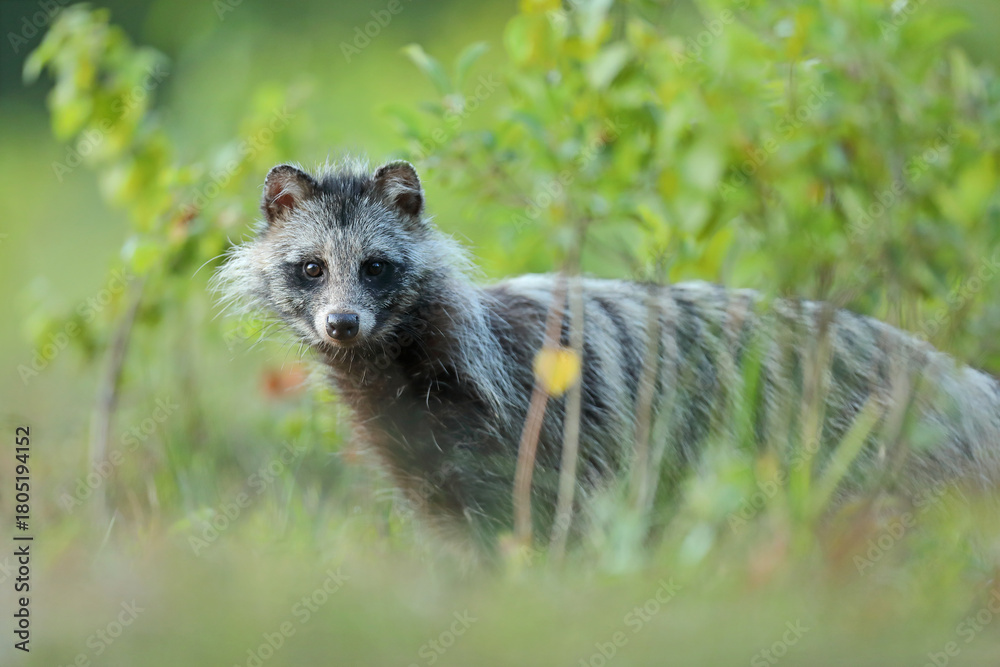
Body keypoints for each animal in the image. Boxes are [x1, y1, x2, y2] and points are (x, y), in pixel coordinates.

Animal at [214, 159, 1000, 550]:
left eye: (376, 266)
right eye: (311, 267)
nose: (342, 323)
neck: (392, 371)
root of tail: (964, 381)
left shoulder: (545, 430)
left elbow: (559, 531)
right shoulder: (424, 458)